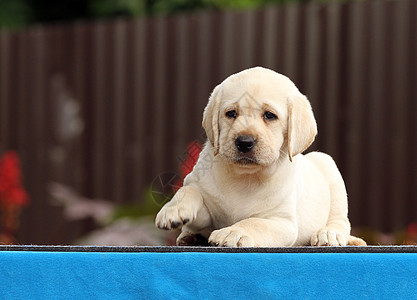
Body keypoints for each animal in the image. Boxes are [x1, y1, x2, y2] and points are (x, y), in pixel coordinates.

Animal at [154, 67, 362, 247]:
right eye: (231, 113)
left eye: (269, 115)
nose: (244, 142)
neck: (245, 177)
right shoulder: (209, 214)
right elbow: (189, 190)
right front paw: (174, 209)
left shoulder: (281, 222)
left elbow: (254, 222)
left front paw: (233, 232)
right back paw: (189, 236)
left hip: (328, 166)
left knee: (340, 221)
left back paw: (328, 234)